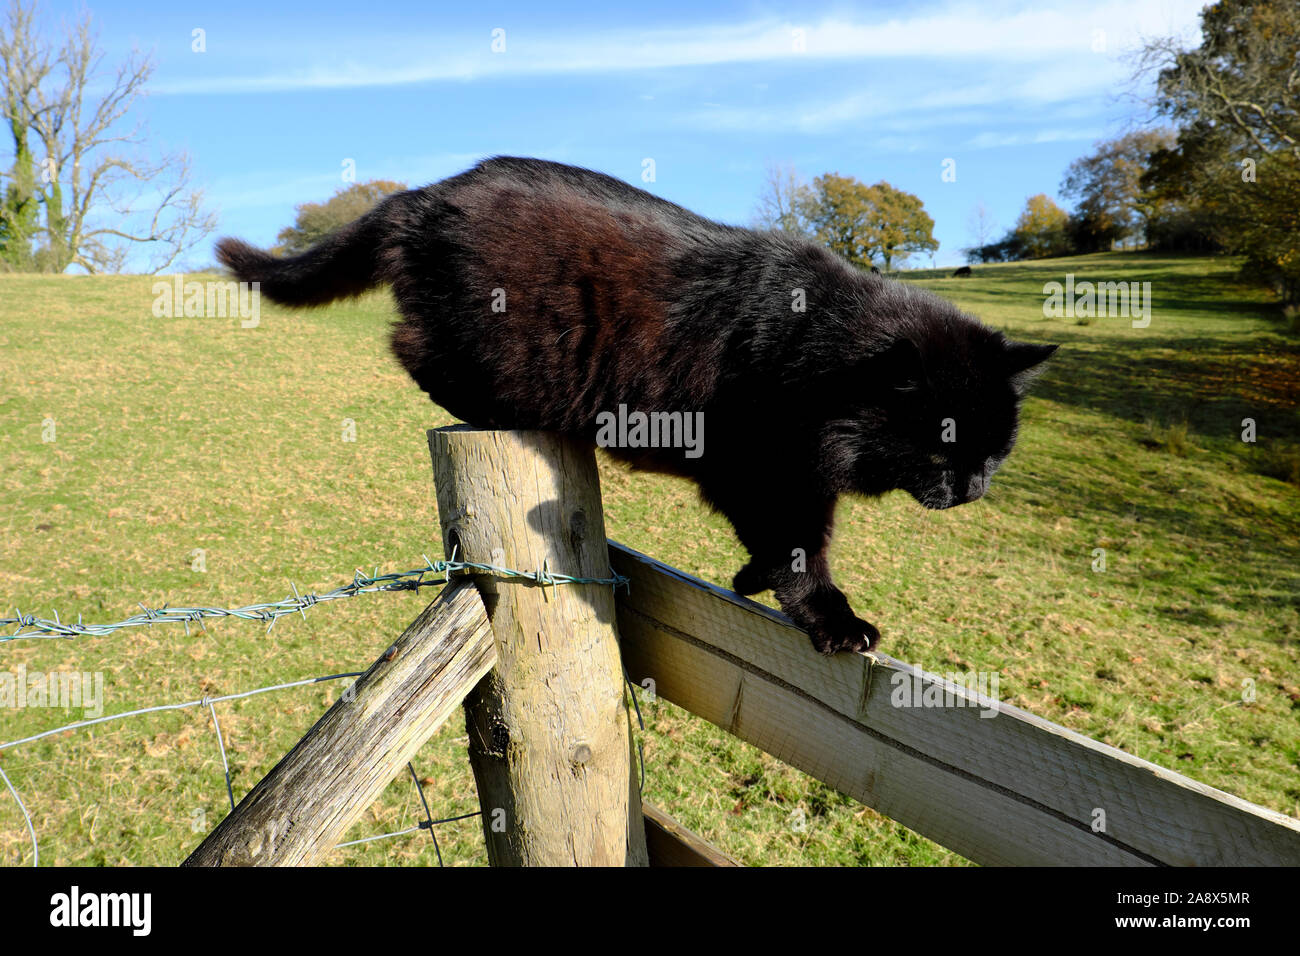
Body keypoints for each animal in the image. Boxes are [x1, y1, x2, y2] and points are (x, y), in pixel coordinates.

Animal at [218, 160, 1055, 660]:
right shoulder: (765, 468)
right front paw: (830, 618)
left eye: (996, 453)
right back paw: (486, 402)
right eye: (946, 445)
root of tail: (426, 192)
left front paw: (753, 580)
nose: (975, 488)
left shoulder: (789, 477)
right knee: (410, 347)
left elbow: (792, 542)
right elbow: (799, 552)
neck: (813, 350)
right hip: (497, 330)